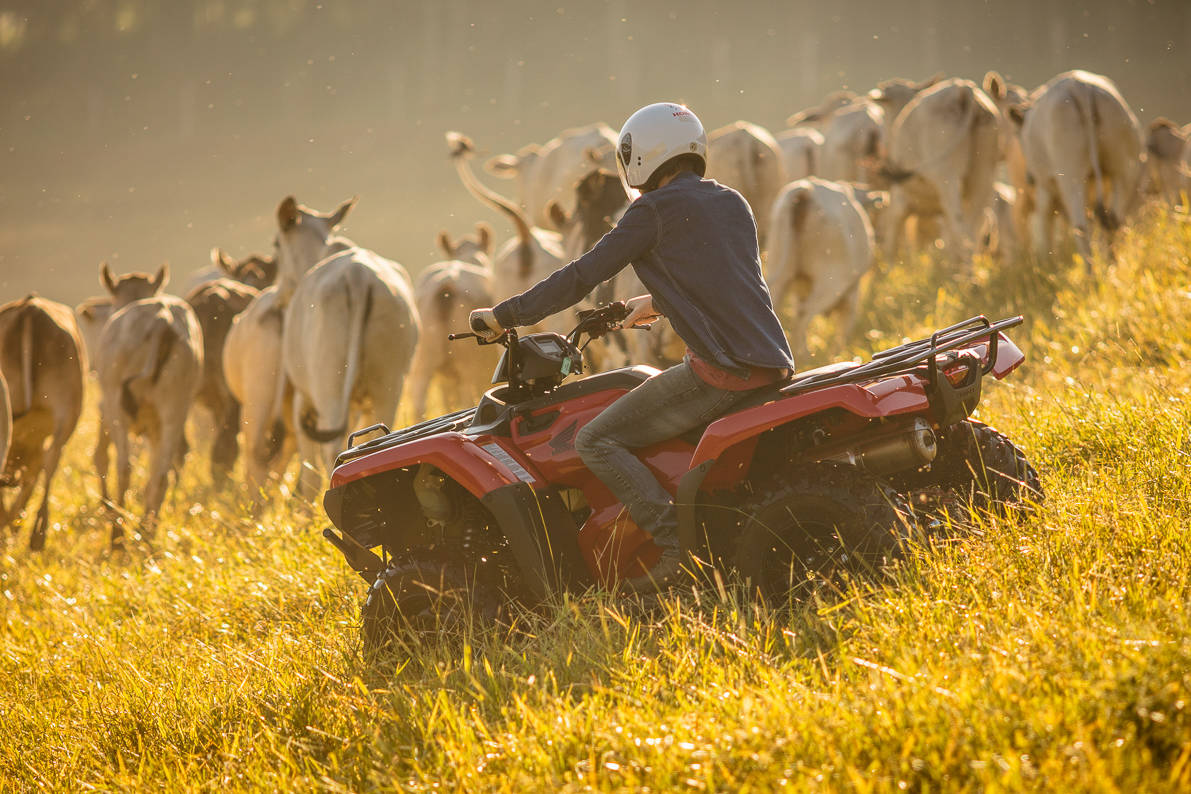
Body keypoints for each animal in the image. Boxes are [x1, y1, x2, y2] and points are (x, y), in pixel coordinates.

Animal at [272, 197, 421, 497]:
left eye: (276, 245)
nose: (279, 298)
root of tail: (357, 274)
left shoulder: (303, 398)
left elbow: (308, 468)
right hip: (389, 382)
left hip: (327, 384)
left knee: (331, 449)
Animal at [767, 178, 881, 361]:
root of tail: (807, 189)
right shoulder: (851, 291)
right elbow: (844, 327)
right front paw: (838, 354)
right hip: (831, 282)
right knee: (804, 312)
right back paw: (805, 355)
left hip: (780, 269)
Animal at [1009, 68, 1138, 260]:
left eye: (1018, 136)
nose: (1029, 178)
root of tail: (1080, 86)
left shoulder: (1045, 187)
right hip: (1122, 168)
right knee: (1114, 219)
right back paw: (1113, 263)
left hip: (1071, 176)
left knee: (1081, 226)